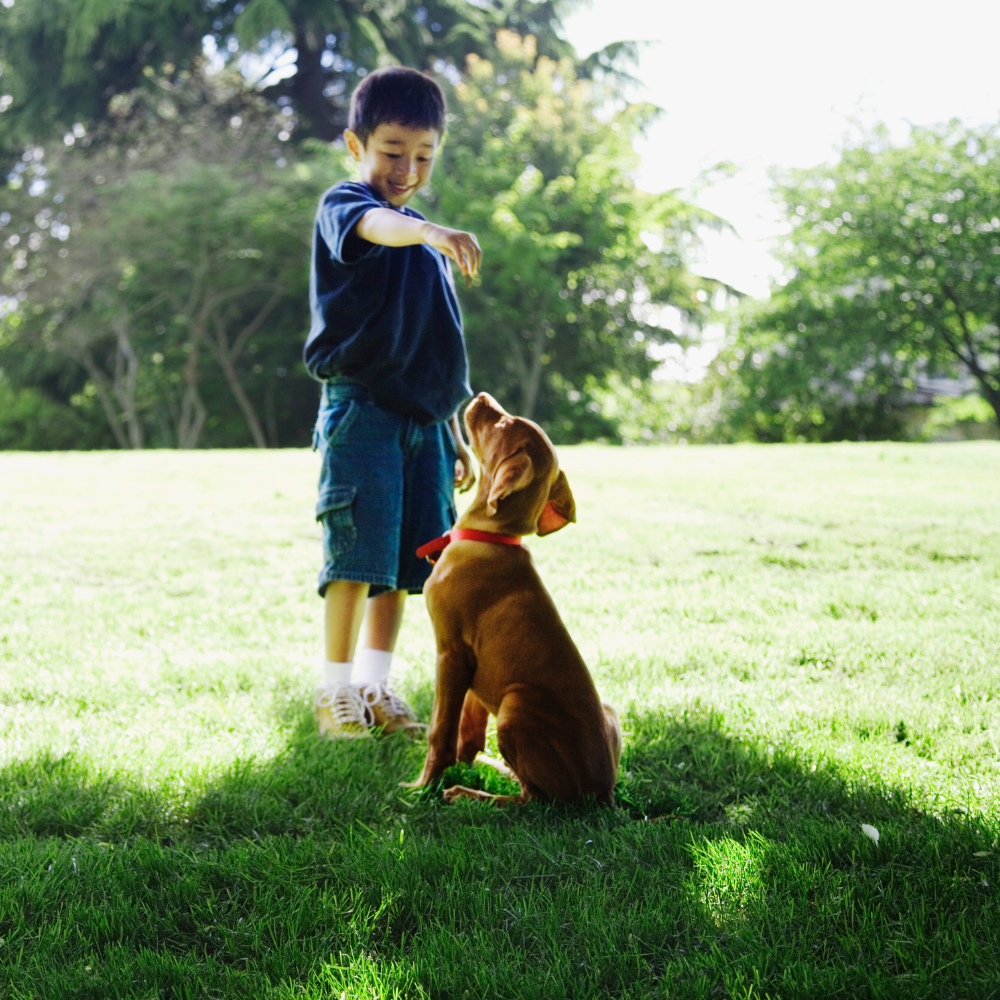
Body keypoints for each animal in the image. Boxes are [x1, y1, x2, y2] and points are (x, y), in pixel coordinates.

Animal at [402, 394, 620, 808]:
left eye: (504, 424)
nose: (480, 396)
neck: (490, 537)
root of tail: (603, 793)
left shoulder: (451, 654)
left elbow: (441, 732)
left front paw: (423, 784)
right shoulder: (473, 667)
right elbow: (467, 734)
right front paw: (467, 762)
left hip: (513, 707)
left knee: (533, 799)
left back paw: (469, 793)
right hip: (605, 710)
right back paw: (495, 769)